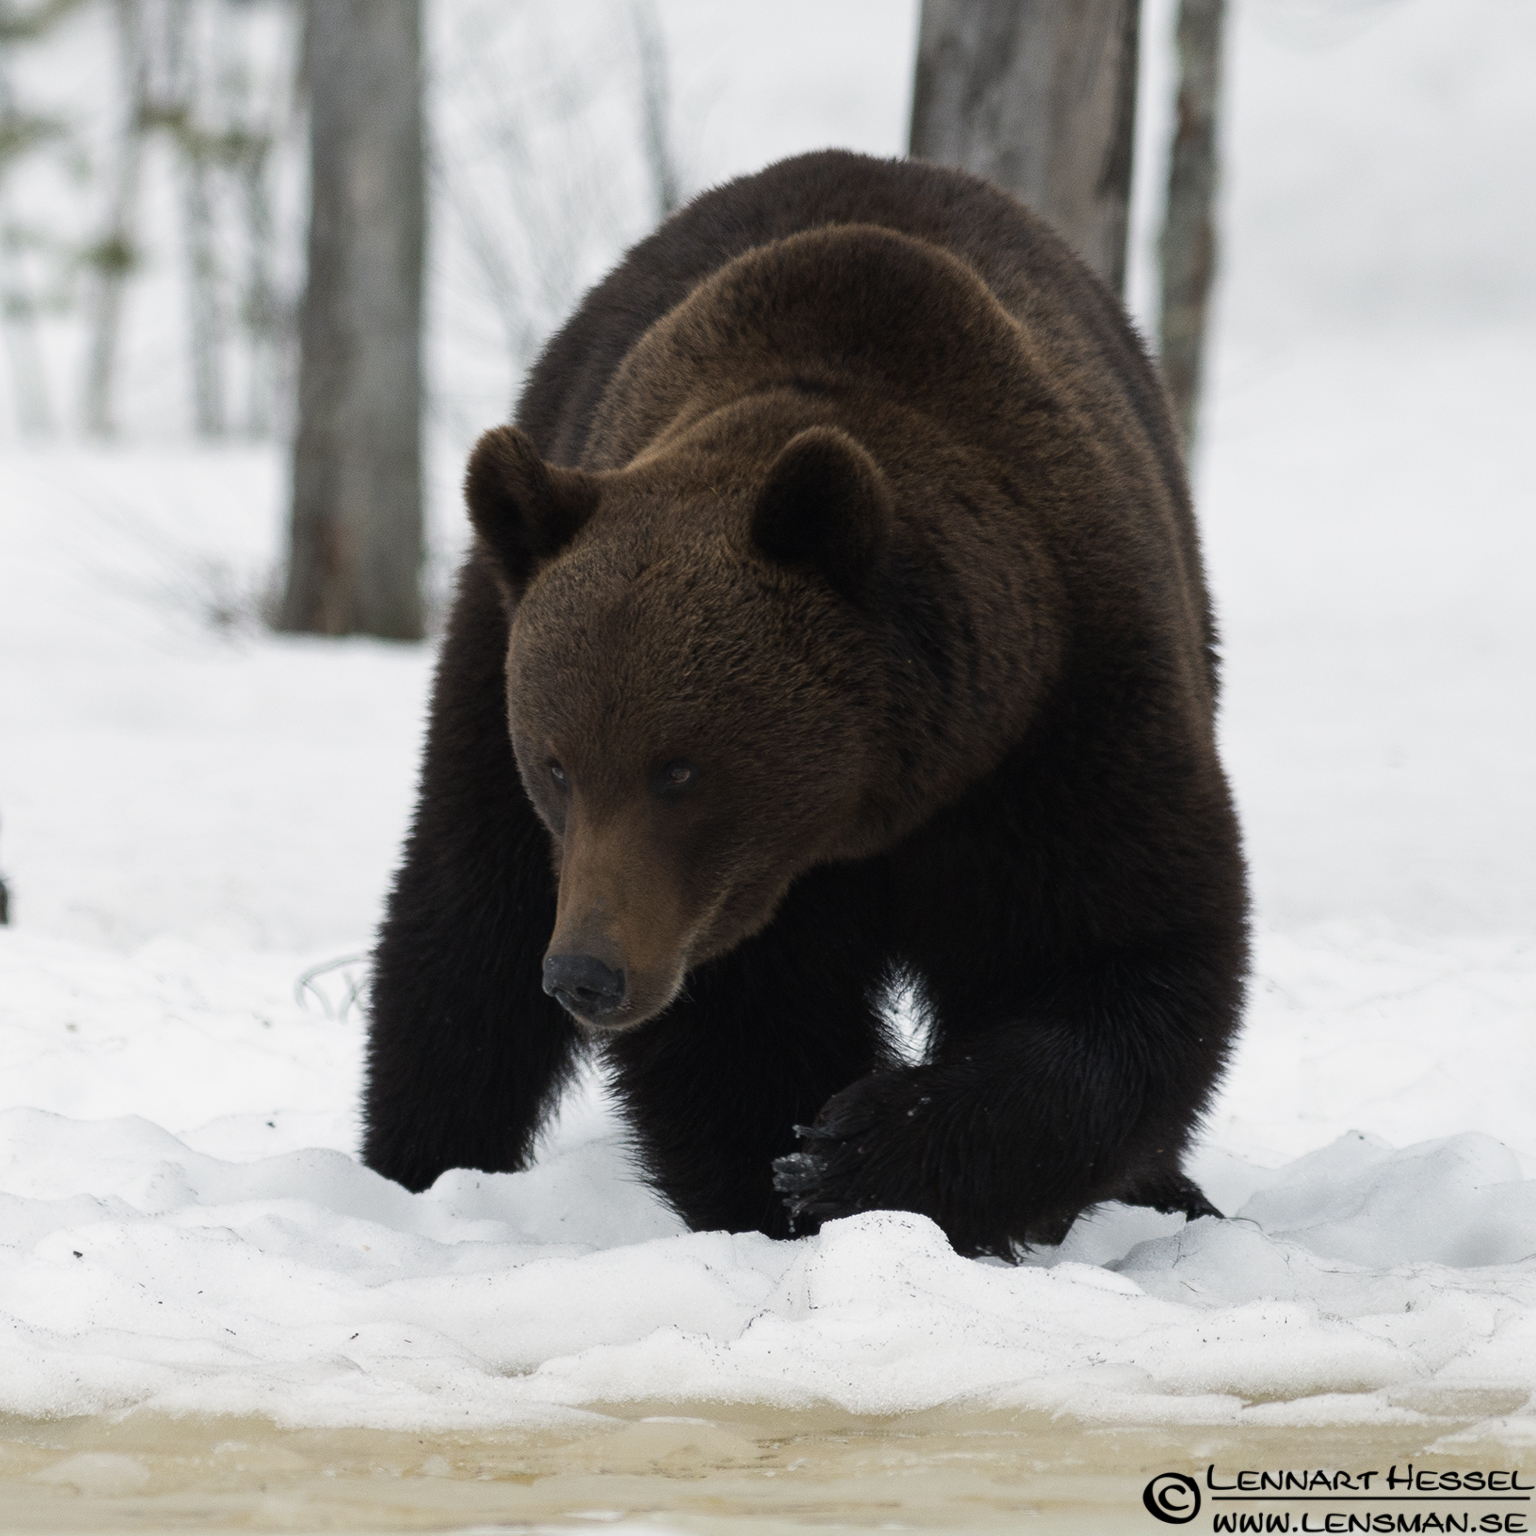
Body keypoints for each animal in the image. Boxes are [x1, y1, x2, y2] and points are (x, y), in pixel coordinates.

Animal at [361, 150, 1248, 1259]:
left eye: (680, 768)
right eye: (559, 763)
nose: (587, 975)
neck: (877, 798)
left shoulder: (1069, 714)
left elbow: (1122, 958)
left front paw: (860, 1151)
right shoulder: (723, 899)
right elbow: (739, 1034)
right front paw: (789, 1180)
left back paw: (1176, 1193)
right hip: (498, 623)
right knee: (463, 922)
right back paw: (419, 1166)